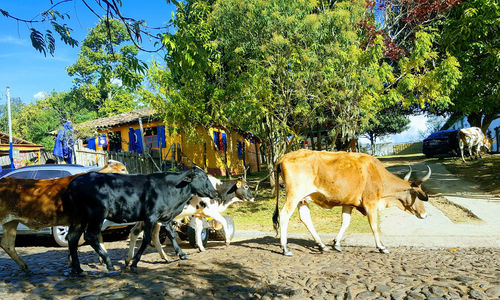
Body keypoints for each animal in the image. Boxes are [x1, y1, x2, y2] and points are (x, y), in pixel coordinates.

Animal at [64, 166, 217, 274]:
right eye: (202, 177)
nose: (215, 192)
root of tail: (75, 182)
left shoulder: (165, 216)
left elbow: (171, 234)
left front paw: (181, 254)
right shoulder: (151, 217)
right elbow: (147, 239)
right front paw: (134, 263)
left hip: (80, 218)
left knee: (72, 237)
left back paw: (78, 269)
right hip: (96, 215)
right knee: (90, 236)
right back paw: (108, 263)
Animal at [126, 176, 254, 264]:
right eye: (246, 186)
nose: (253, 197)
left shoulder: (198, 214)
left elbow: (199, 229)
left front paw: (200, 247)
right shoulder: (210, 211)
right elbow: (223, 221)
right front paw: (227, 241)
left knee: (141, 233)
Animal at [272, 150, 432, 255]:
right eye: (419, 195)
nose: (424, 214)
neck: (377, 173)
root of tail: (283, 157)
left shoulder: (348, 203)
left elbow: (345, 222)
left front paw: (336, 243)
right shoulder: (370, 203)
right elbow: (374, 226)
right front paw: (381, 247)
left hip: (303, 199)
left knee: (306, 218)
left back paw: (322, 245)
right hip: (294, 196)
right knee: (284, 215)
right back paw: (285, 248)